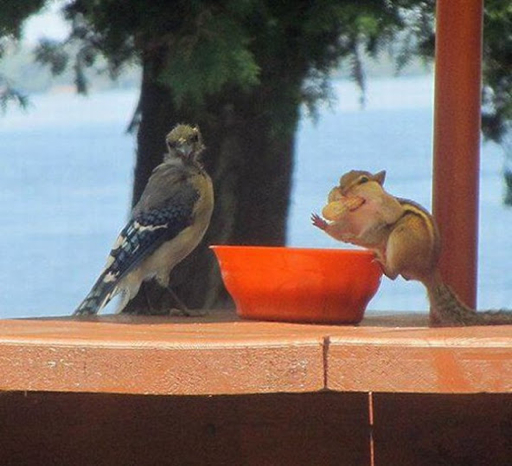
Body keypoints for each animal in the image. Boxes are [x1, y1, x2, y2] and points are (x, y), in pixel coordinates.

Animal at [312, 169, 512, 327]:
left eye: (363, 180)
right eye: (342, 179)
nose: (341, 190)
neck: (361, 212)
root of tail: (430, 271)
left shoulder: (380, 226)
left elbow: (369, 238)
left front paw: (352, 238)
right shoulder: (348, 222)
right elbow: (337, 230)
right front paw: (323, 224)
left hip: (400, 238)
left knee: (394, 273)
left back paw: (383, 263)